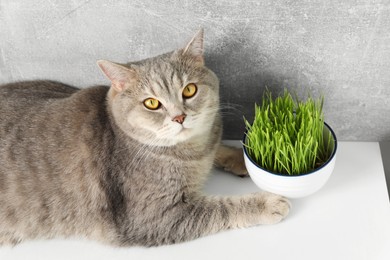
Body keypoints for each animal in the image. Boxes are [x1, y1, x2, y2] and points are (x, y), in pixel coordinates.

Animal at [0, 29, 290, 247]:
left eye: (189, 90)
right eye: (152, 103)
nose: (179, 117)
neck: (191, 152)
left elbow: (217, 146)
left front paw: (241, 158)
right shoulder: (153, 217)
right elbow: (221, 208)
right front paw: (267, 202)